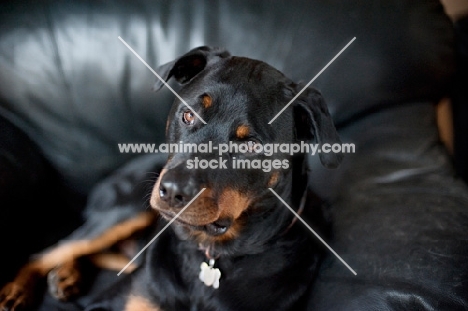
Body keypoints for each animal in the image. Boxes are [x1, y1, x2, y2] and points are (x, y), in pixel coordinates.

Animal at [0, 47, 344, 311]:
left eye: (250, 145)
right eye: (188, 114)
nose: (173, 191)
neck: (211, 255)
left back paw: (68, 275)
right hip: (125, 208)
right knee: (51, 250)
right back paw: (20, 290)